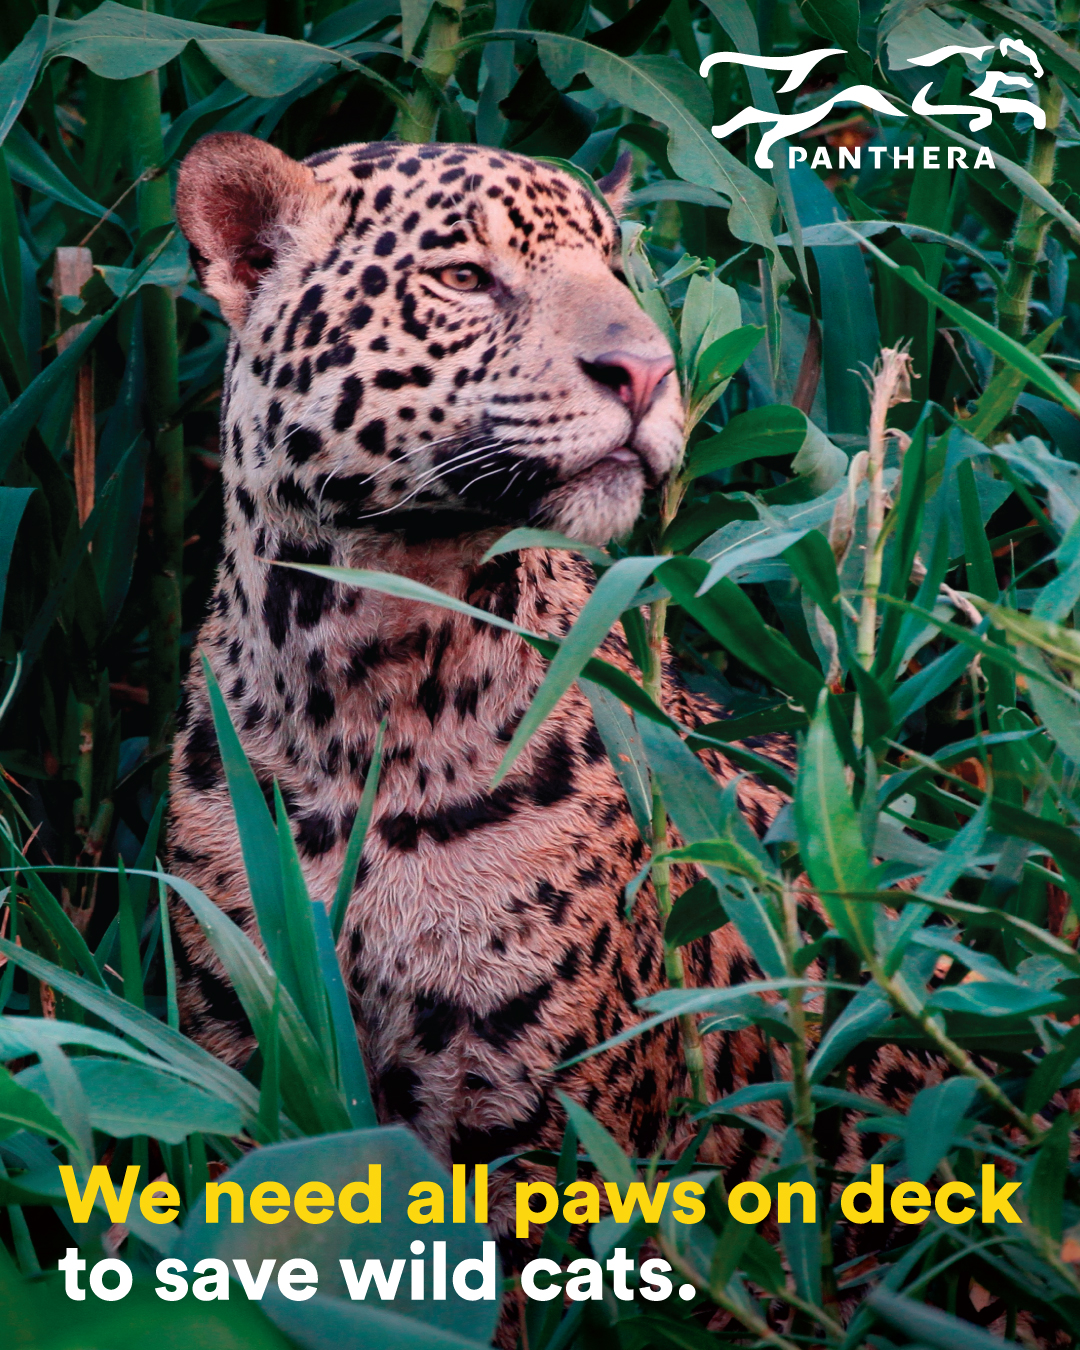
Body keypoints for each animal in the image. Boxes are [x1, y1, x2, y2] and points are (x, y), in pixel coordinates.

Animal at [164, 132, 927, 1305]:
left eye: (617, 272)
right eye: (463, 277)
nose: (649, 372)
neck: (362, 688)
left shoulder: (524, 1126)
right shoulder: (238, 1052)